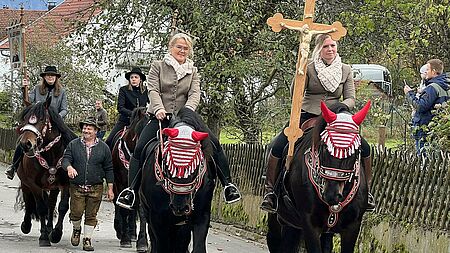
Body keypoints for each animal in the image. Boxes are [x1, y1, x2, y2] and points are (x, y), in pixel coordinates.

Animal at [14, 98, 76, 246]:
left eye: (41, 119)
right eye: (25, 119)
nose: (26, 144)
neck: (51, 155)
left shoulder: (66, 184)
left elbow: (62, 207)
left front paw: (56, 234)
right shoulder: (34, 185)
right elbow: (41, 207)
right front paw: (43, 237)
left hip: (53, 186)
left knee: (51, 204)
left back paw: (49, 229)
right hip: (26, 184)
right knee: (28, 201)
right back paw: (26, 225)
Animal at [111, 106, 150, 251]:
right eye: (139, 128)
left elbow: (141, 212)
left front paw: (142, 242)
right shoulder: (120, 183)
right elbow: (123, 209)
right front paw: (125, 239)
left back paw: (132, 232)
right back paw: (120, 230)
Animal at [141, 107, 218, 253]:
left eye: (196, 166)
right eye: (166, 163)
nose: (180, 206)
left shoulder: (201, 215)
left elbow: (197, 247)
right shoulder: (157, 218)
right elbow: (162, 246)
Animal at [268, 101, 370, 253]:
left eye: (355, 150)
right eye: (324, 146)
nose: (332, 195)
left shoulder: (353, 227)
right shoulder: (309, 224)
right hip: (278, 219)